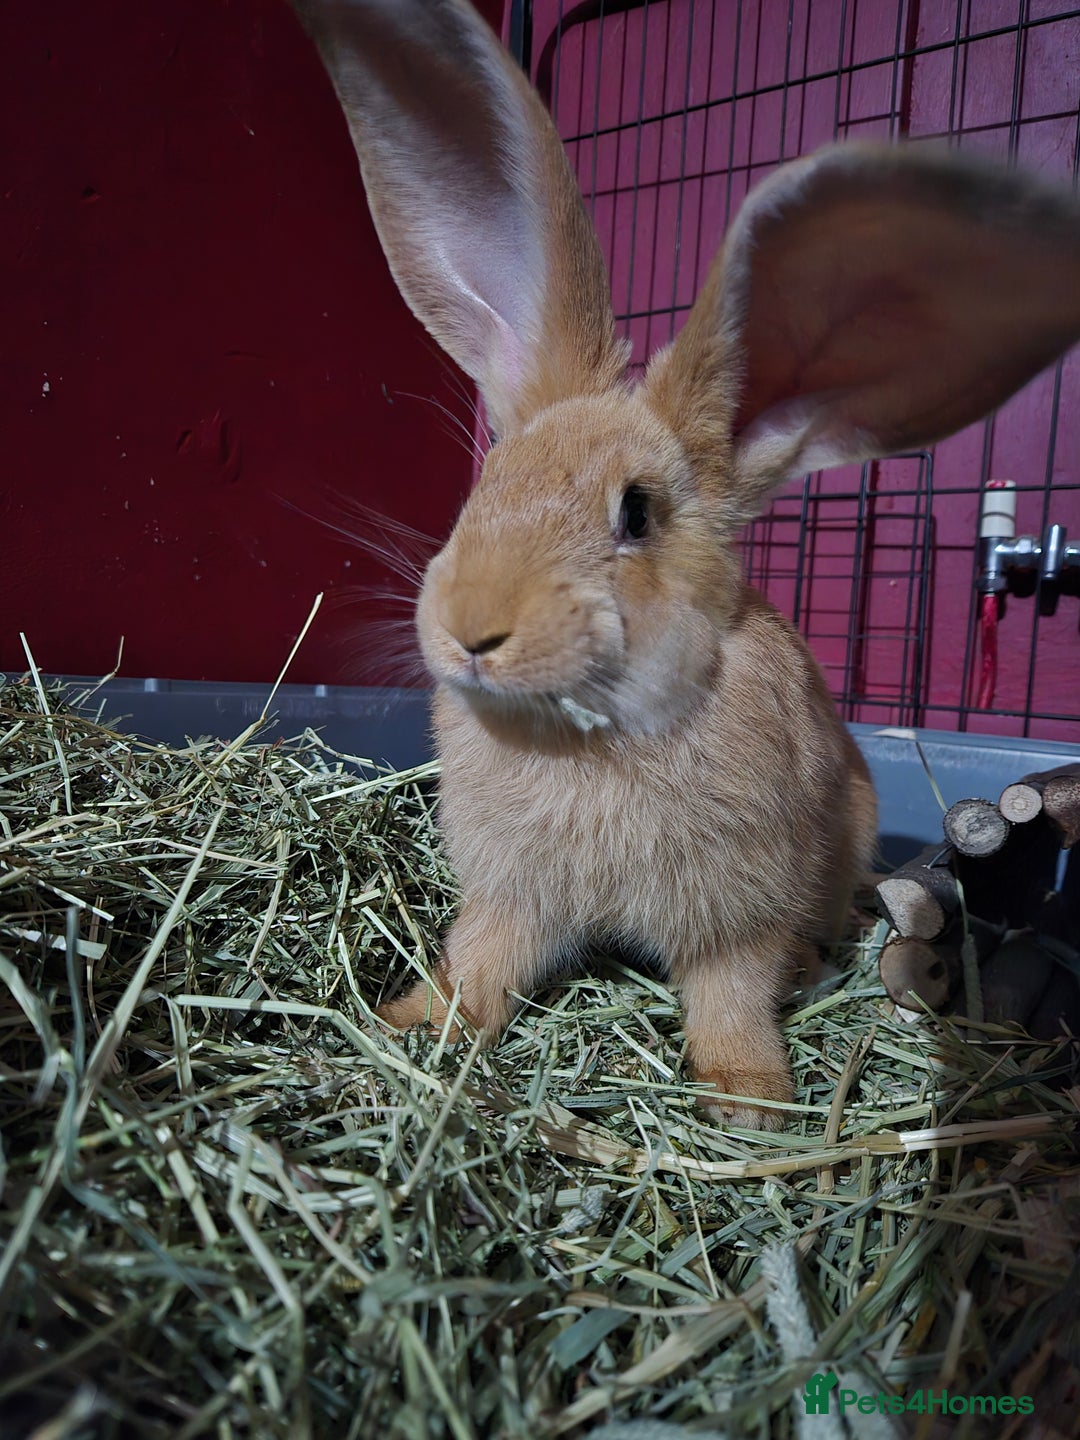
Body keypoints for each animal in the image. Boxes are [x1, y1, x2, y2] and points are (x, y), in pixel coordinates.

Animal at [292, 0, 1080, 1128]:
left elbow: (730, 993)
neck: (595, 728)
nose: (471, 630)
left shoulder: (740, 913)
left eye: (637, 513)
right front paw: (413, 1025)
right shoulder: (509, 895)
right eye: (486, 482)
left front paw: (748, 1098)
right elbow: (481, 961)